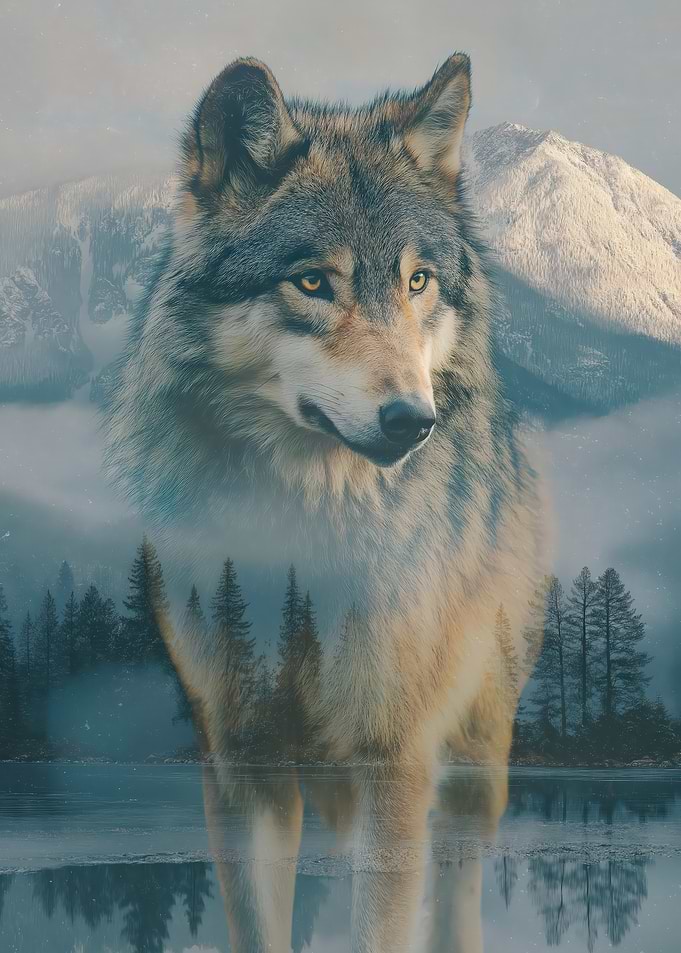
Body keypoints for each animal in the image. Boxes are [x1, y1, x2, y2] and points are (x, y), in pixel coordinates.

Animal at [104, 53, 544, 951]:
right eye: (312, 280)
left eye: (417, 281)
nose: (412, 420)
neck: (303, 539)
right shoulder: (241, 758)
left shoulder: (395, 756)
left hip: (475, 759)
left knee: (457, 886)